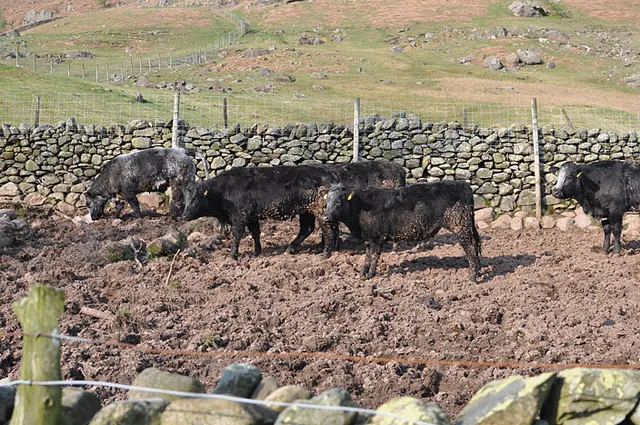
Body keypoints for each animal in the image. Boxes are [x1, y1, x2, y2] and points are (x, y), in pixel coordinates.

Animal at [182, 160, 406, 259]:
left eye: (196, 198)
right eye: (185, 197)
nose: (183, 215)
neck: (224, 190)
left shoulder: (240, 216)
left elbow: (238, 235)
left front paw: (233, 254)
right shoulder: (252, 216)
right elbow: (255, 233)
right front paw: (257, 251)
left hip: (319, 212)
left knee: (329, 230)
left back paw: (326, 253)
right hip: (306, 212)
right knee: (308, 229)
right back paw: (293, 247)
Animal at [320, 181, 482, 282]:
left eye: (338, 201)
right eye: (327, 201)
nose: (325, 216)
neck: (361, 206)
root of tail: (464, 185)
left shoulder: (377, 237)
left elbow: (374, 256)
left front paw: (370, 274)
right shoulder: (368, 237)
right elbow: (367, 255)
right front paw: (362, 272)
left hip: (460, 226)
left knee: (470, 247)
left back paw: (472, 276)